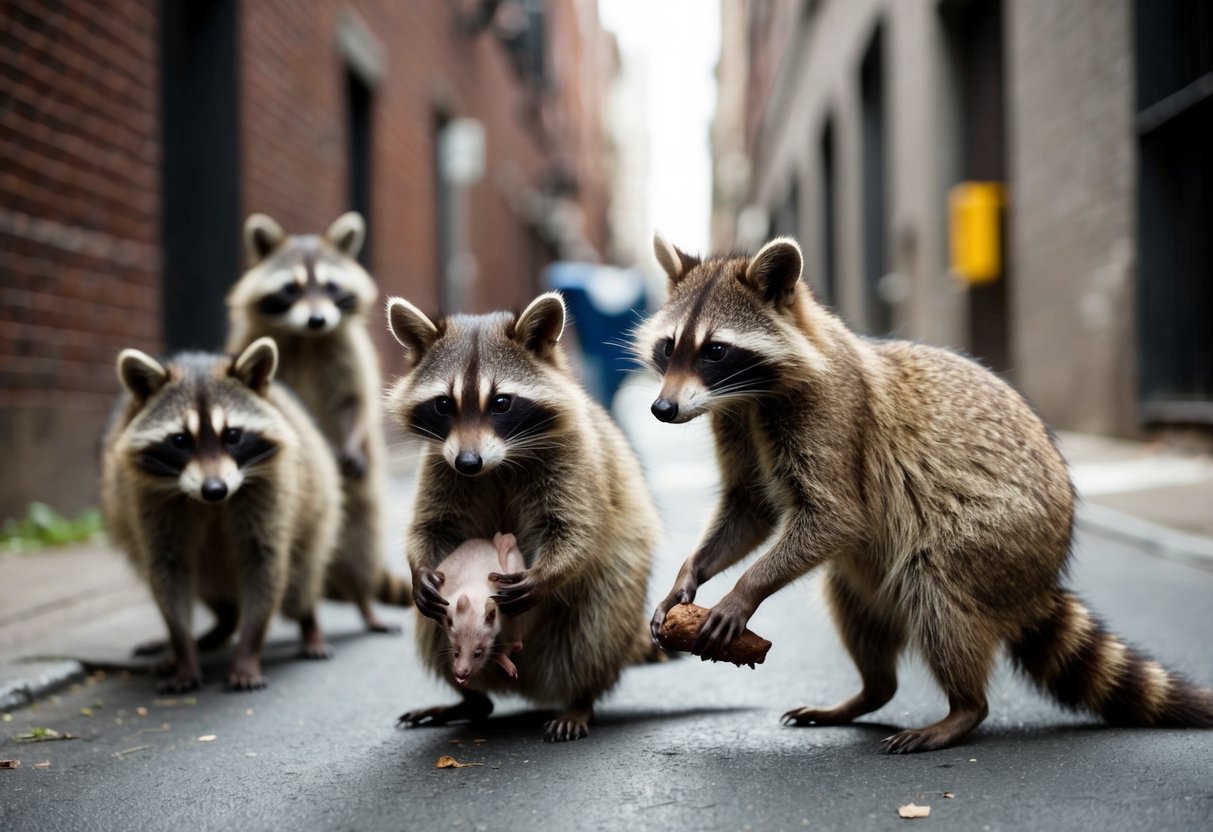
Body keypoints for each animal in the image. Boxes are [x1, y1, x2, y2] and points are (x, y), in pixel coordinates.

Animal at [100, 338, 342, 693]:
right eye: (180, 440)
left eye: (233, 435)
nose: (214, 489)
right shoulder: (149, 500)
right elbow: (167, 572)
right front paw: (182, 651)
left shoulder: (270, 490)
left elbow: (265, 565)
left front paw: (248, 652)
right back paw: (208, 635)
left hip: (318, 514)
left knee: (300, 585)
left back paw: (310, 625)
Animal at [226, 211, 410, 632]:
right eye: (291, 288)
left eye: (330, 285)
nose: (317, 319)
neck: (306, 337)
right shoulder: (253, 342)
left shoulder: (347, 348)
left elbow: (354, 400)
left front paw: (353, 436)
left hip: (359, 499)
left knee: (359, 537)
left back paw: (364, 601)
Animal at [385, 292, 660, 742]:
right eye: (444, 404)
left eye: (501, 403)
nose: (468, 462)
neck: (498, 463)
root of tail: (526, 680)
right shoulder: (440, 464)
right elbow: (431, 525)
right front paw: (419, 567)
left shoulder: (575, 458)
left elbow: (578, 529)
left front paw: (548, 573)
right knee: (434, 632)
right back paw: (470, 698)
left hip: (613, 597)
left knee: (593, 629)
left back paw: (581, 699)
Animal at [639, 234, 1213, 753]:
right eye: (669, 347)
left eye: (716, 350)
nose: (662, 410)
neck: (753, 393)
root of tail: (1040, 581)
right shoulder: (735, 421)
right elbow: (750, 507)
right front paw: (692, 571)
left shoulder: (831, 413)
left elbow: (836, 517)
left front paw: (745, 590)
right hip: (878, 574)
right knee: (852, 602)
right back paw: (870, 691)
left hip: (996, 539)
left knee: (937, 589)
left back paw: (964, 708)